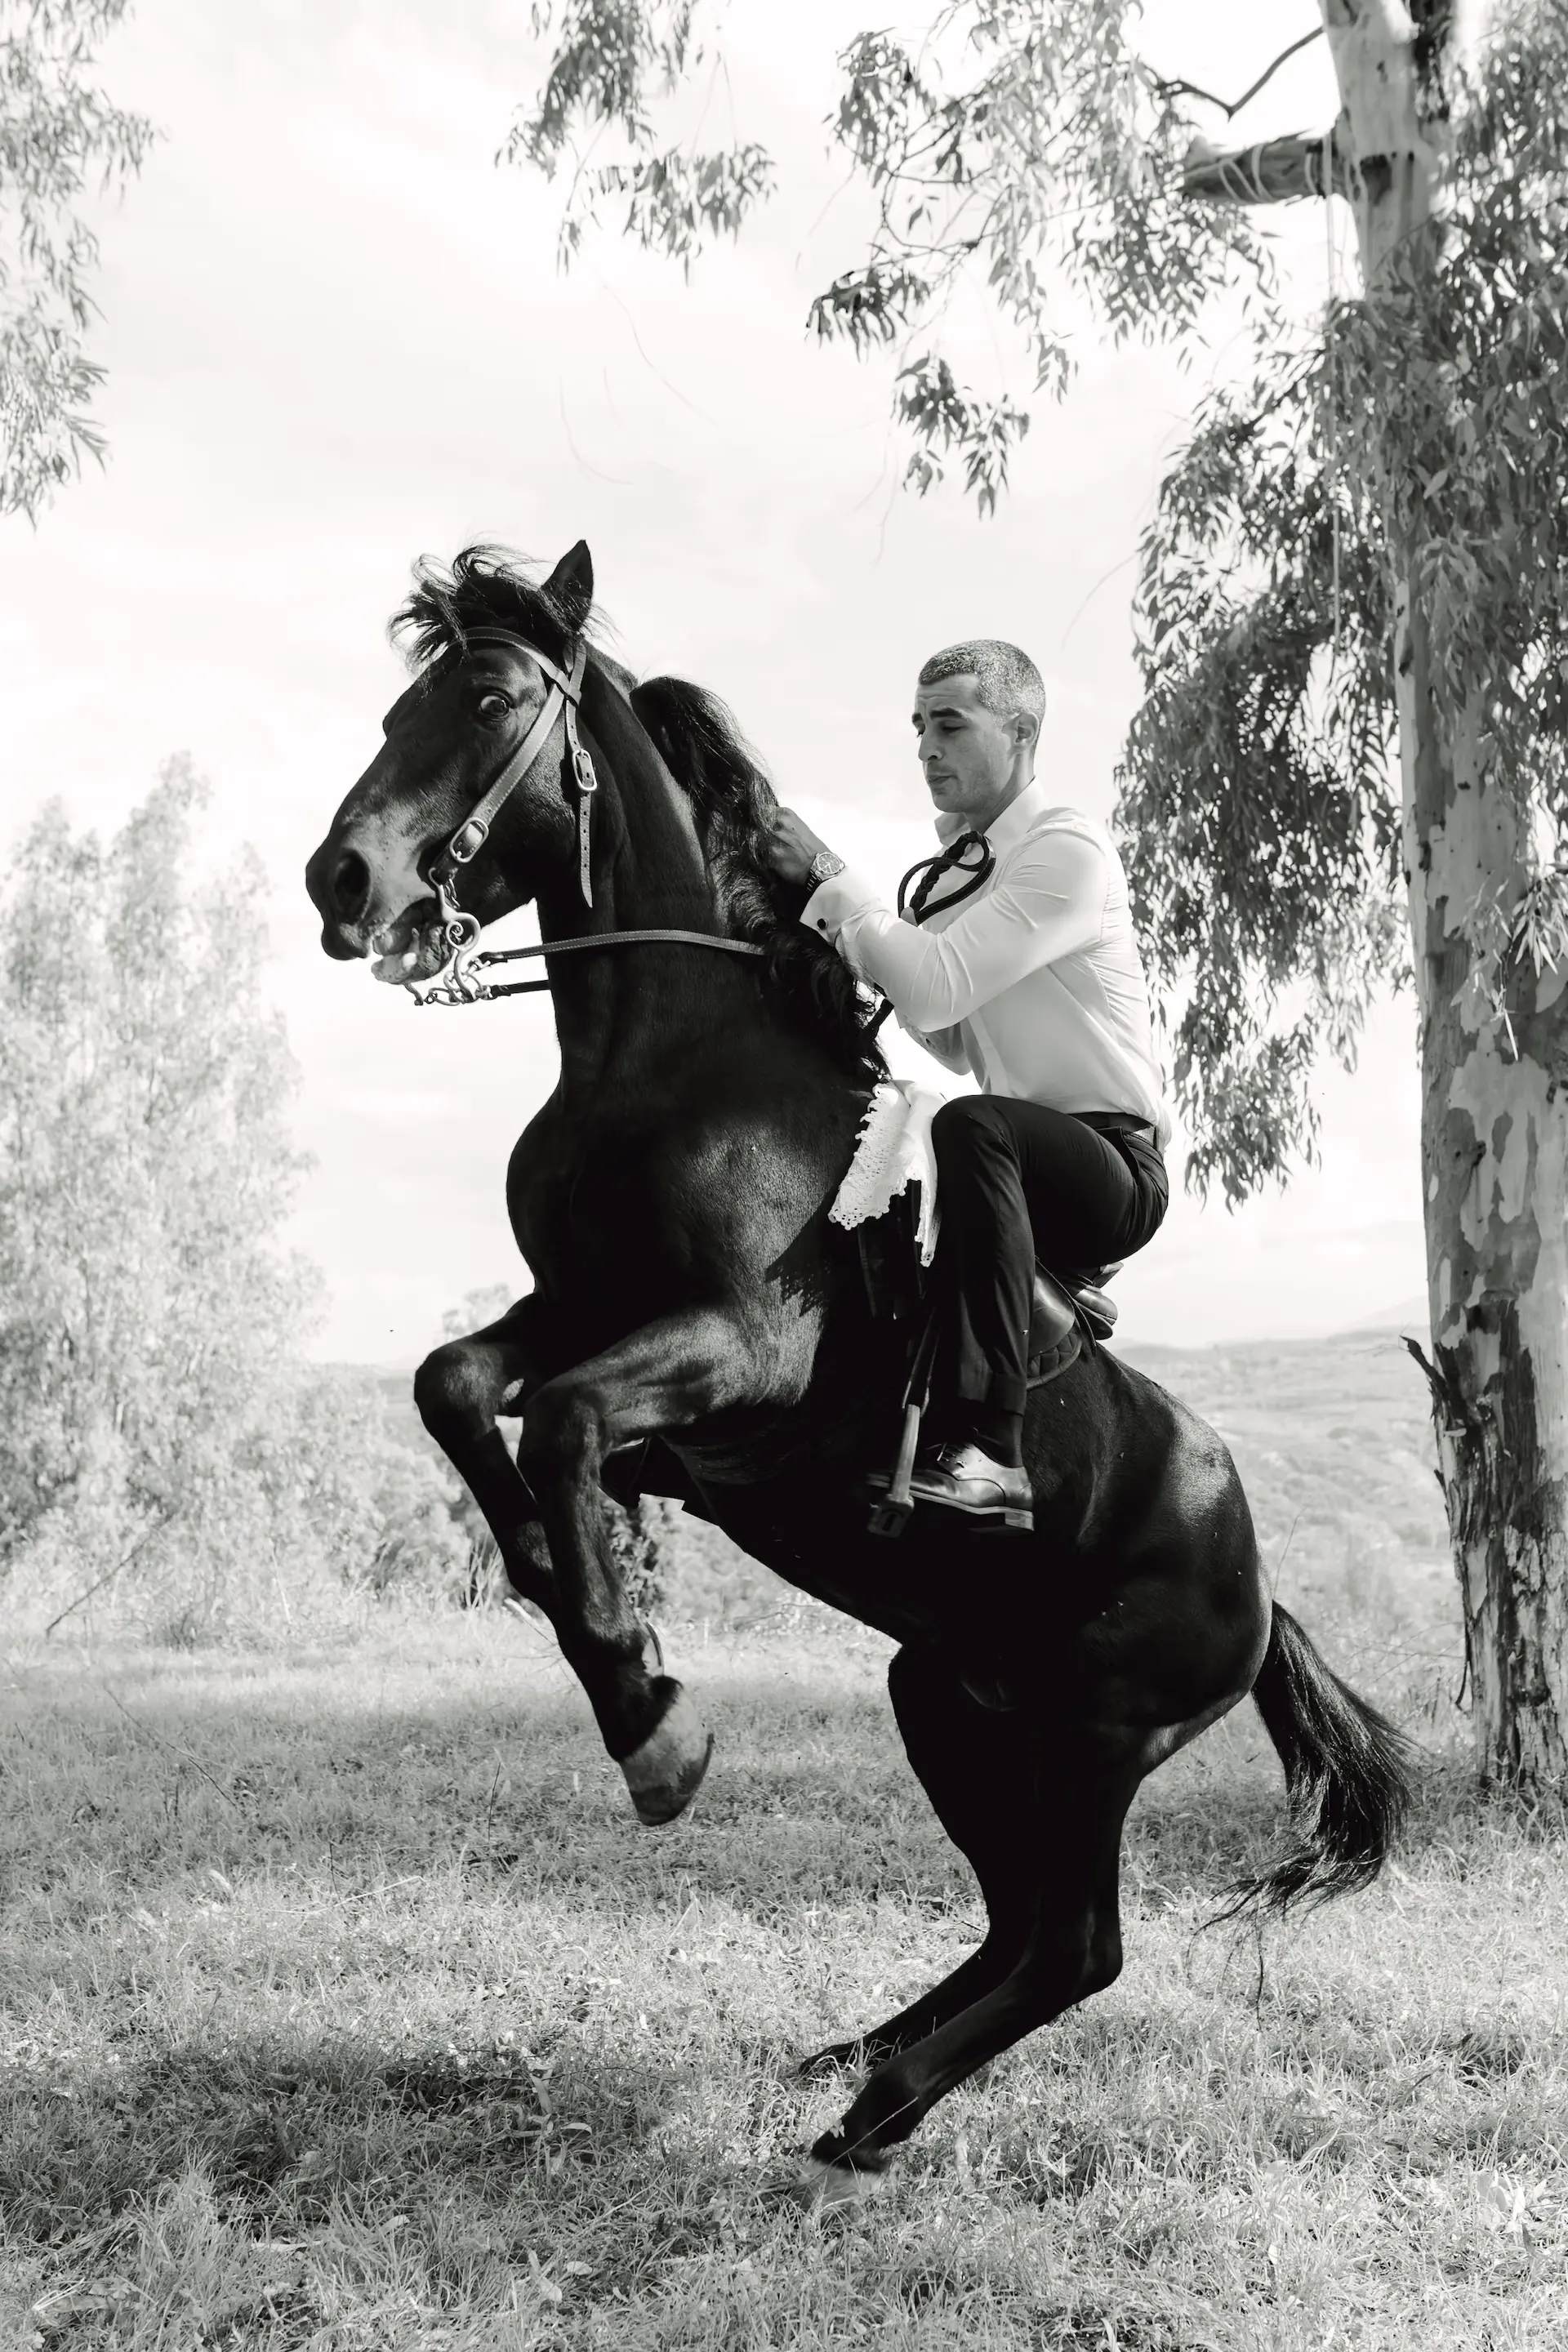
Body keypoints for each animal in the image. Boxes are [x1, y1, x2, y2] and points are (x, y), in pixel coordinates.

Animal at [305, 539, 1413, 2199]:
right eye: (396, 705)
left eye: (490, 698)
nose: (343, 882)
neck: (669, 1065)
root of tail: (1261, 1585)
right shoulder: (578, 1308)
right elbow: (457, 1387)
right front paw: (581, 1611)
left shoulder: (738, 1355)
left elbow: (559, 1425)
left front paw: (652, 1724)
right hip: (946, 1697)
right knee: (1018, 1929)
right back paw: (855, 2057)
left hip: (1099, 1739)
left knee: (1078, 1948)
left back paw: (874, 2113)